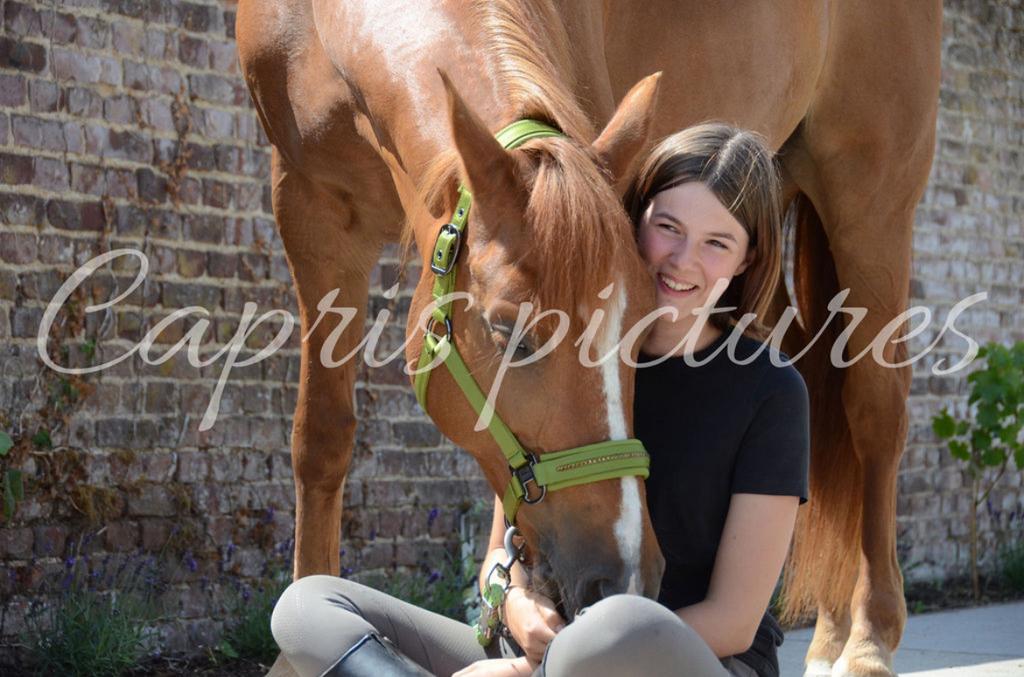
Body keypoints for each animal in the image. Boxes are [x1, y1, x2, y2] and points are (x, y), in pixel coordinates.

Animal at [235, 2, 942, 676]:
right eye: (511, 333)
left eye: (640, 330)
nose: (624, 575)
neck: (328, 26)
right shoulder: (308, 209)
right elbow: (320, 439)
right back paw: (829, 634)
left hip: (871, 205)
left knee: (874, 413)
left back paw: (867, 641)